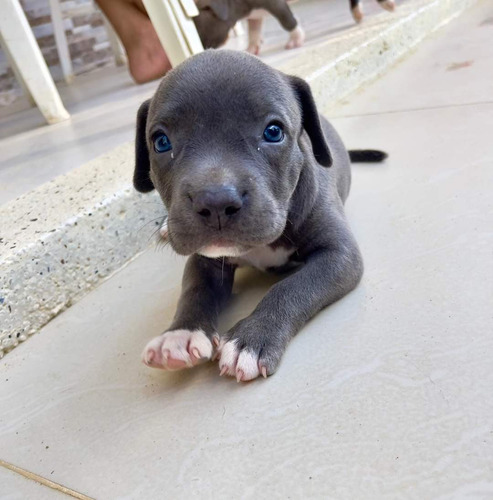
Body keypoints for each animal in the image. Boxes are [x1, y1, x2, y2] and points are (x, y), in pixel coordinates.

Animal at [134, 49, 384, 382]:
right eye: (161, 142)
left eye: (273, 132)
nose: (215, 201)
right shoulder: (204, 259)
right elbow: (194, 289)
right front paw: (181, 334)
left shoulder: (339, 255)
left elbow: (291, 287)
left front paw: (251, 339)